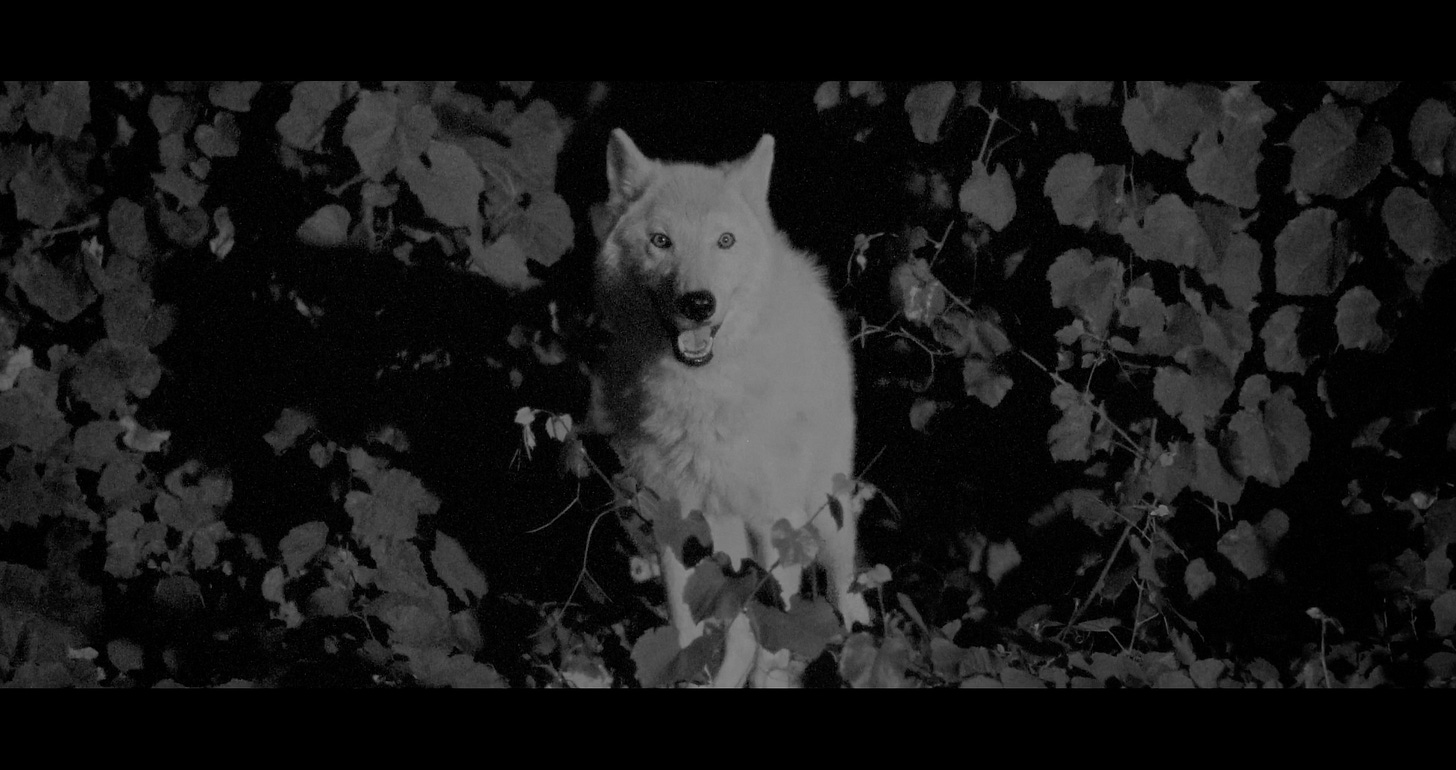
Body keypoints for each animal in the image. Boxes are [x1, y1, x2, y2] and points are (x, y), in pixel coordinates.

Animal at [594, 129, 869, 687]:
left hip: (825, 512)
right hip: (725, 541)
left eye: (725, 241)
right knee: (738, 634)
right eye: (661, 241)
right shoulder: (673, 520)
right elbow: (687, 632)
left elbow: (775, 636)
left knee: (844, 588)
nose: (698, 303)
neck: (705, 395)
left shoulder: (776, 524)